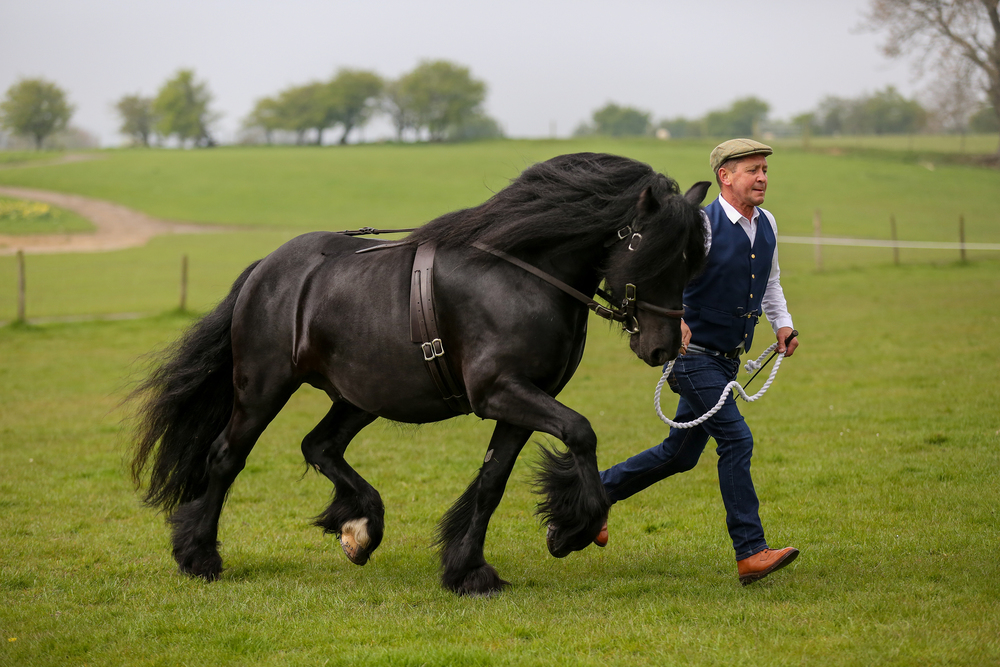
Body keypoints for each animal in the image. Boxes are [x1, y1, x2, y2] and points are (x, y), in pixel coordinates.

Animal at [127, 154, 712, 596]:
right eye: (654, 253)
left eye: (693, 261)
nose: (663, 346)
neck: (523, 274)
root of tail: (267, 268)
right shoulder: (500, 392)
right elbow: (581, 432)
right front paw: (573, 529)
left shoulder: (524, 400)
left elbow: (493, 482)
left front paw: (469, 569)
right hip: (262, 388)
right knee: (227, 457)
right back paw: (199, 556)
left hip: (359, 396)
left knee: (319, 445)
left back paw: (360, 528)